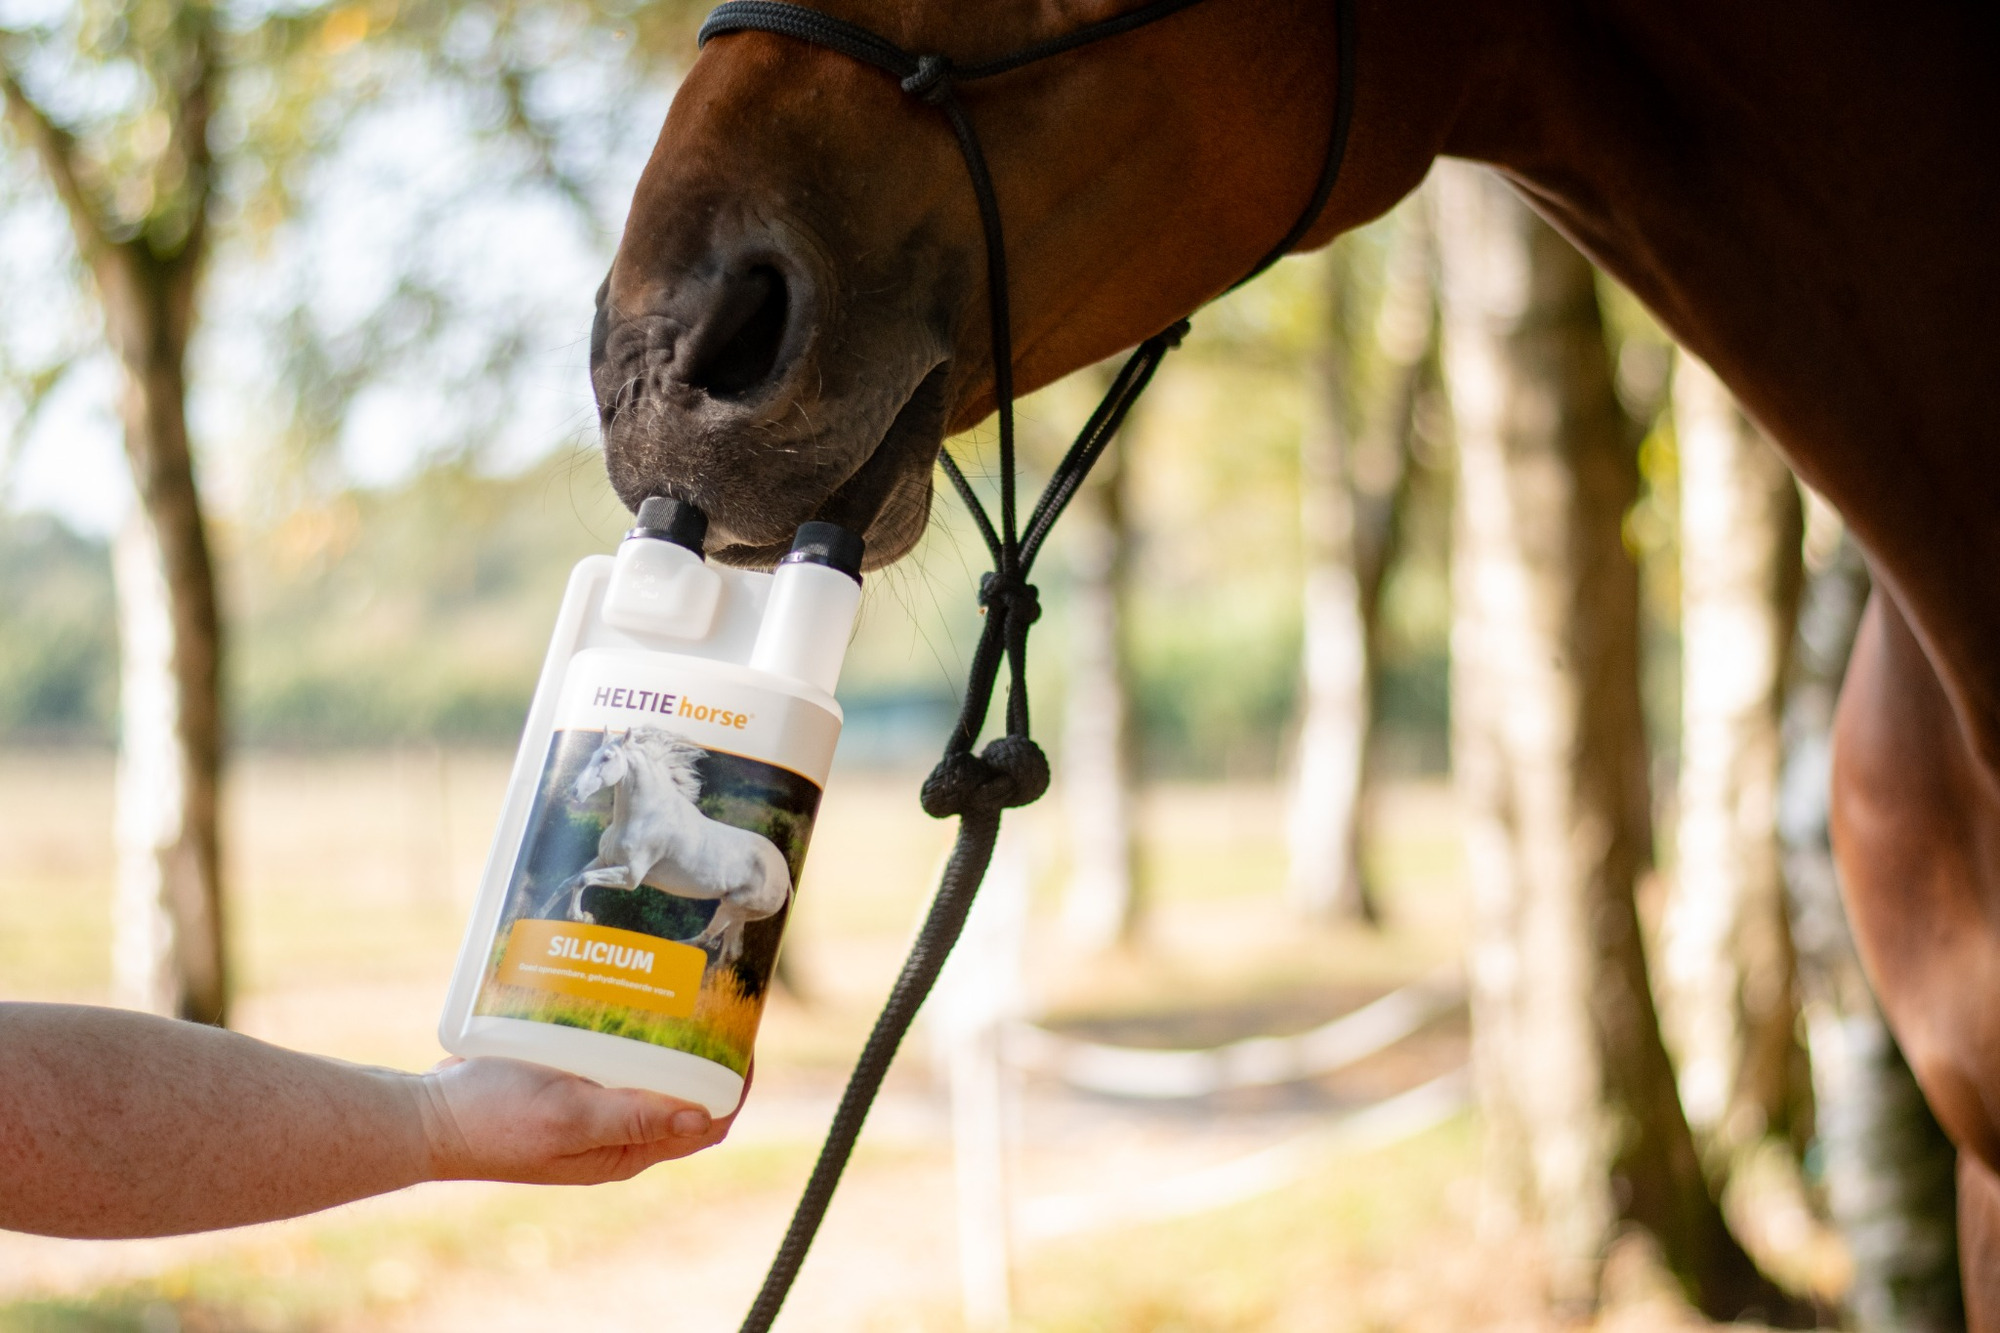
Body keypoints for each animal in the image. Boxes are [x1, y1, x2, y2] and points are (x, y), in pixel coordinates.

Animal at [539, 728, 793, 964]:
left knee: (707, 940)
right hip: (737, 913)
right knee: (729, 954)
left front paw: (582, 917)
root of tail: (786, 877)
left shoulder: (631, 877)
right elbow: (567, 882)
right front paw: (539, 916)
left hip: (732, 907)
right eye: (593, 754)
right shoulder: (603, 860)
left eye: (606, 758)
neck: (644, 816)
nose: (575, 791)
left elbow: (582, 880)